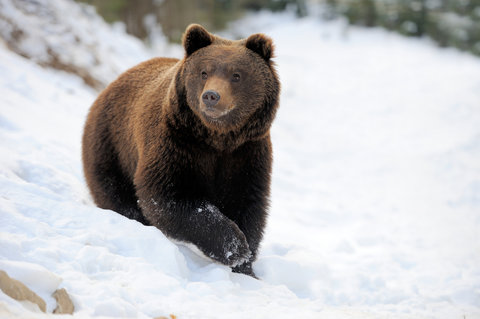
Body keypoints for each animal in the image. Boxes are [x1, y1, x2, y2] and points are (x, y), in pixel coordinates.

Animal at [81, 24, 280, 278]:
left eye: (236, 75)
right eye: (204, 72)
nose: (211, 96)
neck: (218, 138)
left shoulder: (247, 153)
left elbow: (249, 204)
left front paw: (245, 266)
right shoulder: (176, 144)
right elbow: (168, 195)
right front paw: (234, 247)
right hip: (112, 146)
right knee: (116, 193)